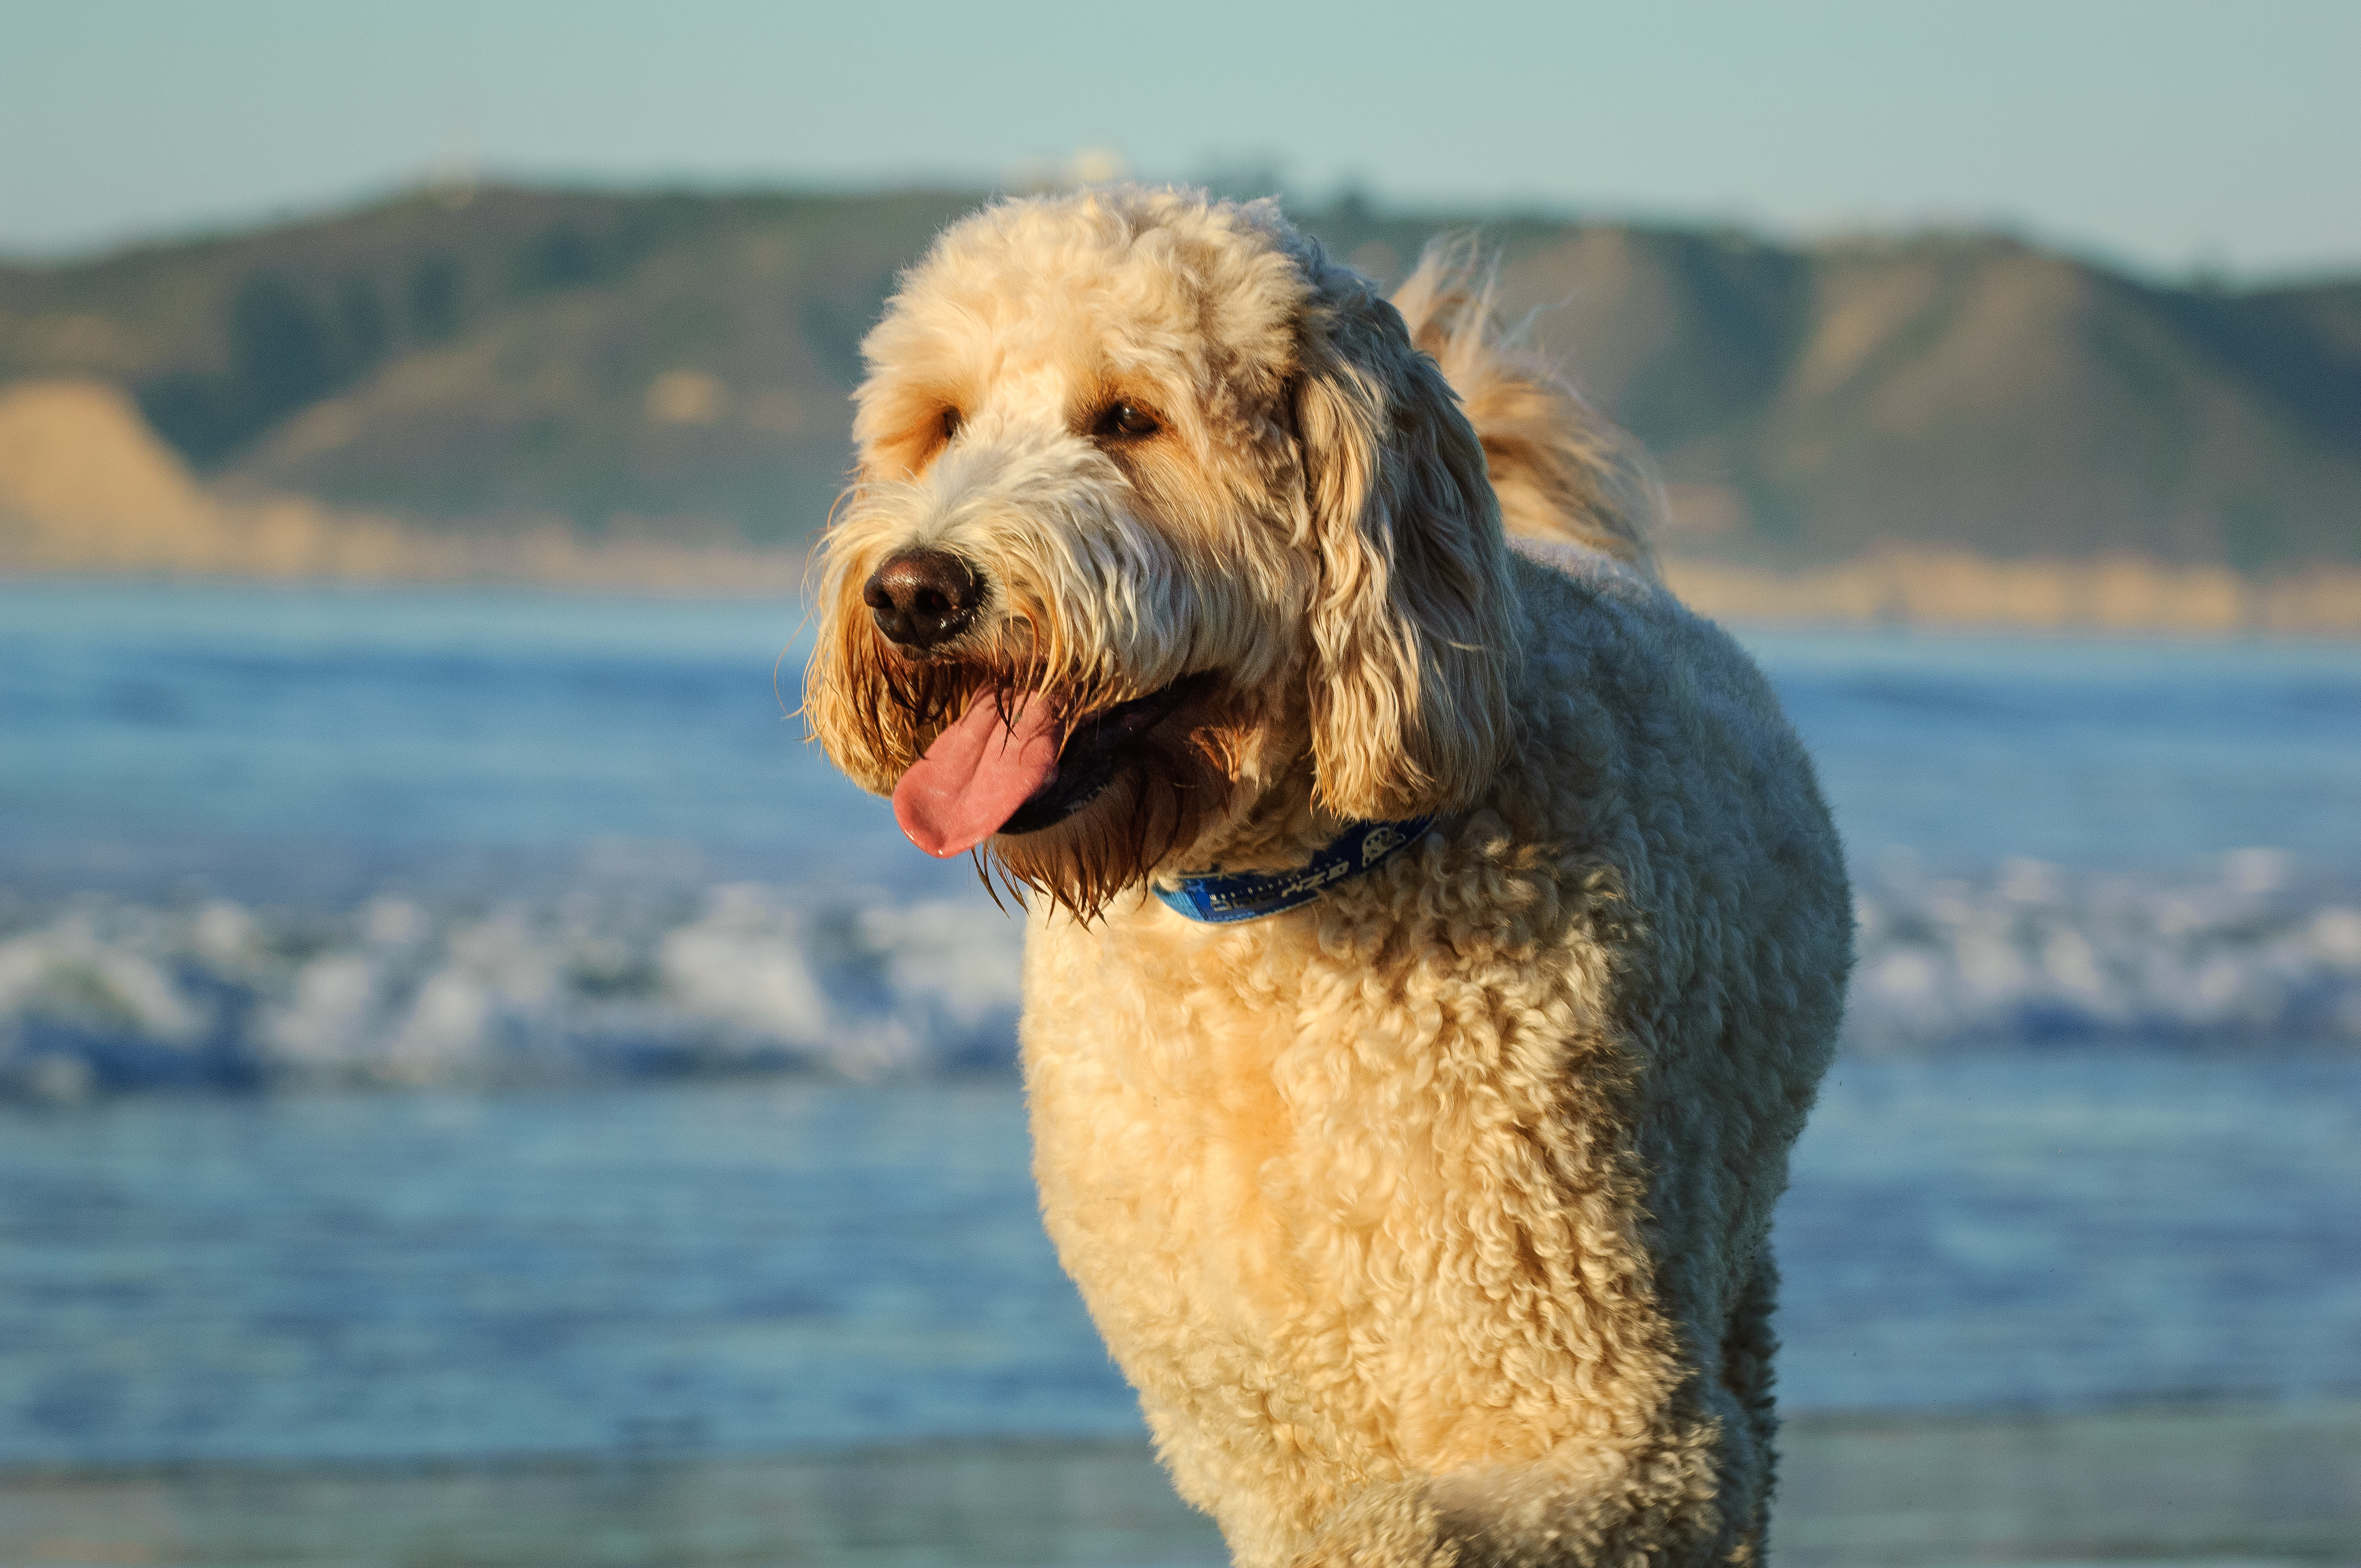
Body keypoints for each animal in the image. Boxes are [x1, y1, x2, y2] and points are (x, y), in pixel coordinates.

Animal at [802, 190, 1851, 1558]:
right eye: (942, 422)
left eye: (1128, 418)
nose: (915, 591)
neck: (1264, 926)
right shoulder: (1255, 1434)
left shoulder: (1609, 1421)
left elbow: (1423, 1522)